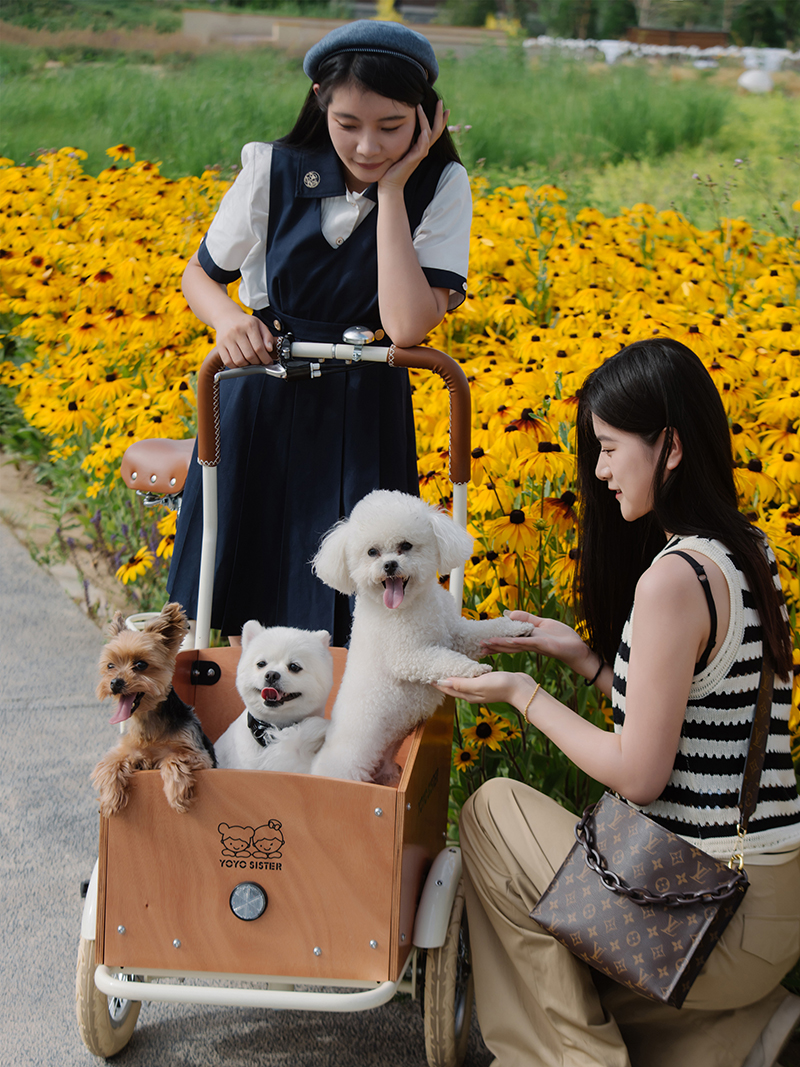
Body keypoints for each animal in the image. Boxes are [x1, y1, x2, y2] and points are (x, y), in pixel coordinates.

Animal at [309, 490, 535, 785]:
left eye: (405, 545)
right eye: (372, 552)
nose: (389, 564)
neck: (411, 605)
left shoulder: (456, 633)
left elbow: (486, 630)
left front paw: (517, 626)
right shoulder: (409, 656)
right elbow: (444, 659)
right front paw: (473, 670)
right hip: (350, 769)